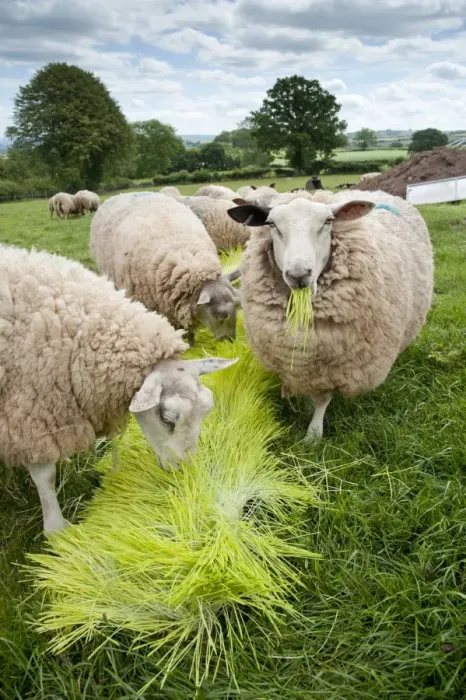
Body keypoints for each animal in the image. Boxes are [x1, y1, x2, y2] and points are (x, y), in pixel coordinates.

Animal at [0, 243, 236, 533]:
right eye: (167, 418)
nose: (183, 471)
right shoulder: (29, 414)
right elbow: (46, 475)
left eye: (206, 410)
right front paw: (56, 529)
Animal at [227, 189, 433, 441]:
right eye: (271, 224)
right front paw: (305, 408)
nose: (299, 274)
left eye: (327, 222)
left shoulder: (332, 367)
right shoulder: (297, 363)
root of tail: (379, 192)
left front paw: (313, 435)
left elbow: (323, 400)